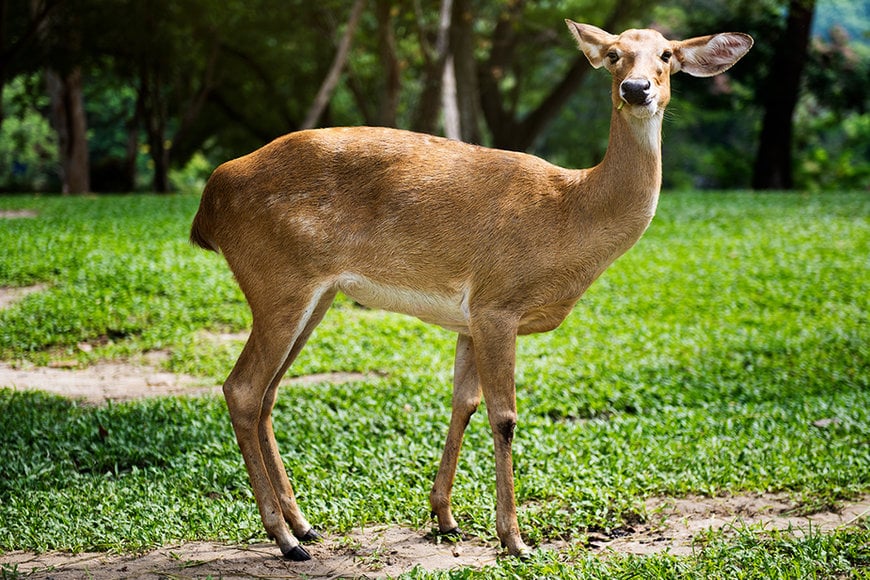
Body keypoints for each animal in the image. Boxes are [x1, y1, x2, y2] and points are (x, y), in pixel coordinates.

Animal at [189, 21, 753, 560]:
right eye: (614, 54)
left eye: (666, 55)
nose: (636, 90)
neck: (570, 215)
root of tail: (209, 200)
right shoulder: (497, 303)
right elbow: (504, 416)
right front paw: (515, 540)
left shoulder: (469, 318)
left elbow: (464, 403)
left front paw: (445, 517)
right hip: (278, 282)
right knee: (242, 388)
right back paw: (286, 541)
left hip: (313, 296)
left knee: (267, 392)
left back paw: (305, 525)